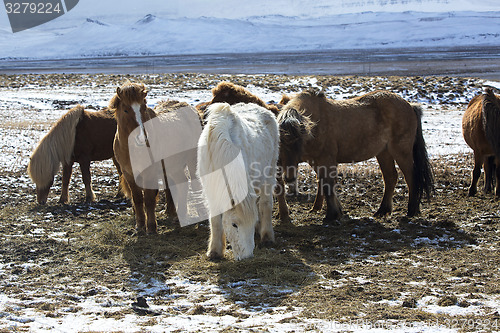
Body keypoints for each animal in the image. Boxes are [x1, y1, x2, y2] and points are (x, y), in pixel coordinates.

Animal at [196, 101, 282, 260]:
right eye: (234, 225)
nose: (247, 257)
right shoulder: (211, 191)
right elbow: (215, 220)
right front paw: (214, 252)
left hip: (269, 174)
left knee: (265, 204)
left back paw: (267, 237)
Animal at [278, 89, 434, 222]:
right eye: (281, 143)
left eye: (299, 142)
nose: (289, 177)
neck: (315, 124)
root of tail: (409, 105)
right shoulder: (316, 161)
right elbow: (323, 183)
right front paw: (334, 211)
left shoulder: (326, 160)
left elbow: (327, 184)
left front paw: (331, 215)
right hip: (384, 153)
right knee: (390, 177)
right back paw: (383, 210)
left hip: (401, 152)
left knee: (410, 177)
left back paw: (411, 211)